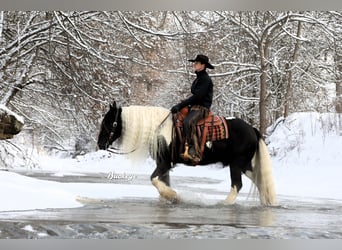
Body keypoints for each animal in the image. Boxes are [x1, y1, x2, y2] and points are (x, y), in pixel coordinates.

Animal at [97, 100, 278, 206]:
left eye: (109, 121)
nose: (100, 143)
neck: (159, 129)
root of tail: (252, 129)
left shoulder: (165, 163)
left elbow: (154, 179)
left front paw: (173, 195)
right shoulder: (164, 165)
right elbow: (163, 181)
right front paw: (169, 199)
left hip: (236, 164)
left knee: (237, 186)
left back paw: (223, 204)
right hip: (244, 165)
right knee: (260, 181)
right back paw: (267, 202)